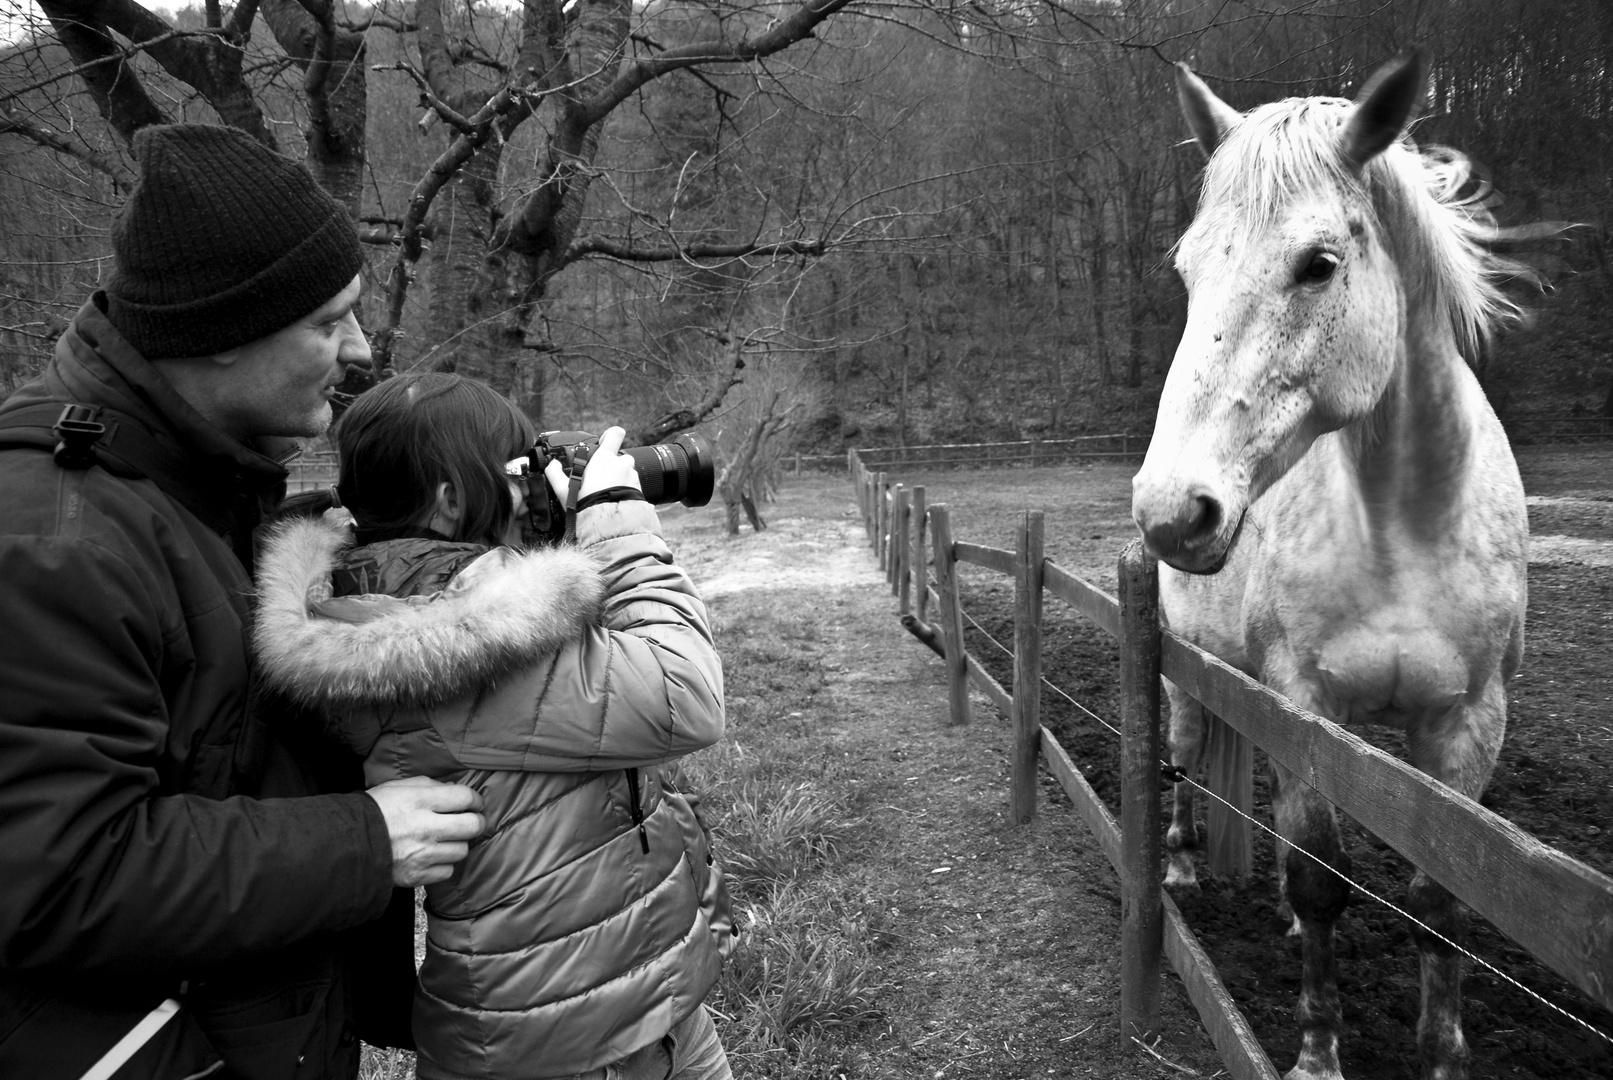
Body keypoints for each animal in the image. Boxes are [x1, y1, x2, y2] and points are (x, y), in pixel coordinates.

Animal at [1135, 54, 1522, 1080]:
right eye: (1187, 270)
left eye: (1317, 264)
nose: (1172, 511)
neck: (1405, 527)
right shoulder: (1303, 703)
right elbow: (1320, 881)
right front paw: (1315, 1051)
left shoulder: (1466, 725)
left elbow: (1442, 904)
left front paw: (1442, 1054)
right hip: (1194, 672)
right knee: (1185, 753)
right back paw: (1181, 861)